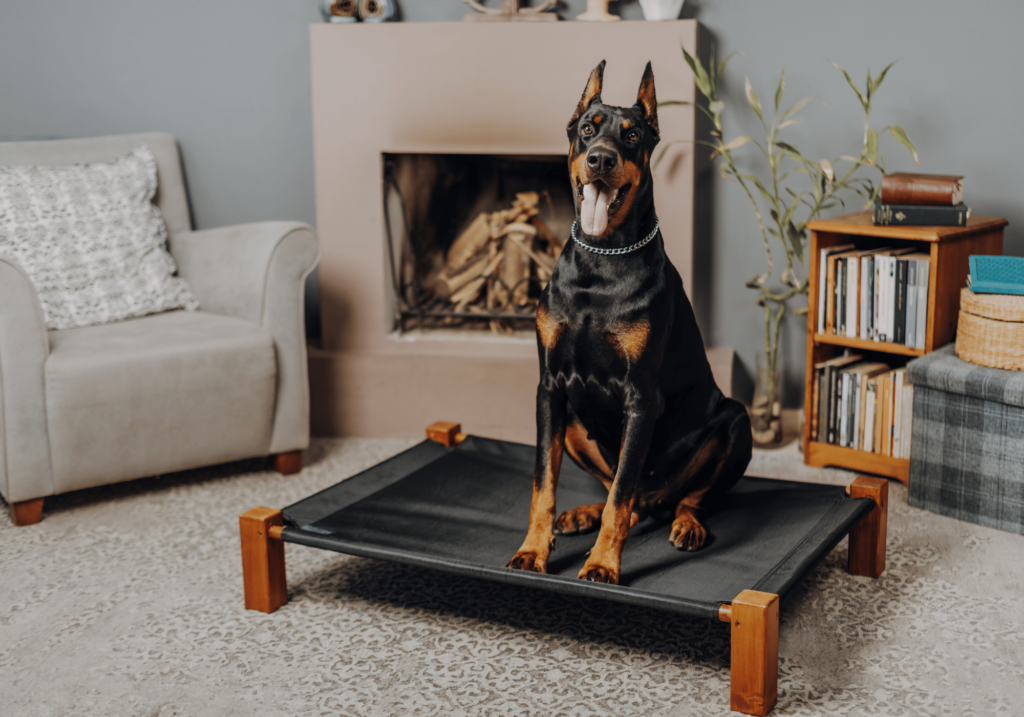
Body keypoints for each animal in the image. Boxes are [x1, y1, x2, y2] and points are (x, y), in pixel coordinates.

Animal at [505, 61, 753, 585]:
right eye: (587, 130)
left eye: (632, 135)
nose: (600, 159)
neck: (600, 261)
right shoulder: (549, 388)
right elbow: (543, 483)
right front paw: (533, 550)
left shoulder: (641, 397)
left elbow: (621, 496)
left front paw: (602, 564)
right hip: (574, 423)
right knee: (627, 494)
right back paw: (583, 514)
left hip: (734, 422)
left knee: (680, 497)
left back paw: (686, 525)